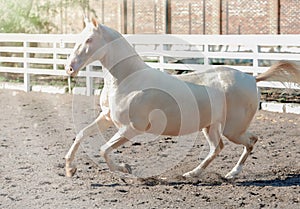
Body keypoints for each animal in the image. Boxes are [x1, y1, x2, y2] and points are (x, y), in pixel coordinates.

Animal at [65, 17, 300, 180]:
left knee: (250, 141)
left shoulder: (131, 128)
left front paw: (126, 168)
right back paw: (192, 174)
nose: (70, 68)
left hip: (233, 128)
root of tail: (252, 78)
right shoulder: (107, 118)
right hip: (211, 127)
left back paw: (231, 174)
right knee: (218, 148)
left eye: (89, 40)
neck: (127, 80)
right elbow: (82, 134)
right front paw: (69, 169)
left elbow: (103, 150)